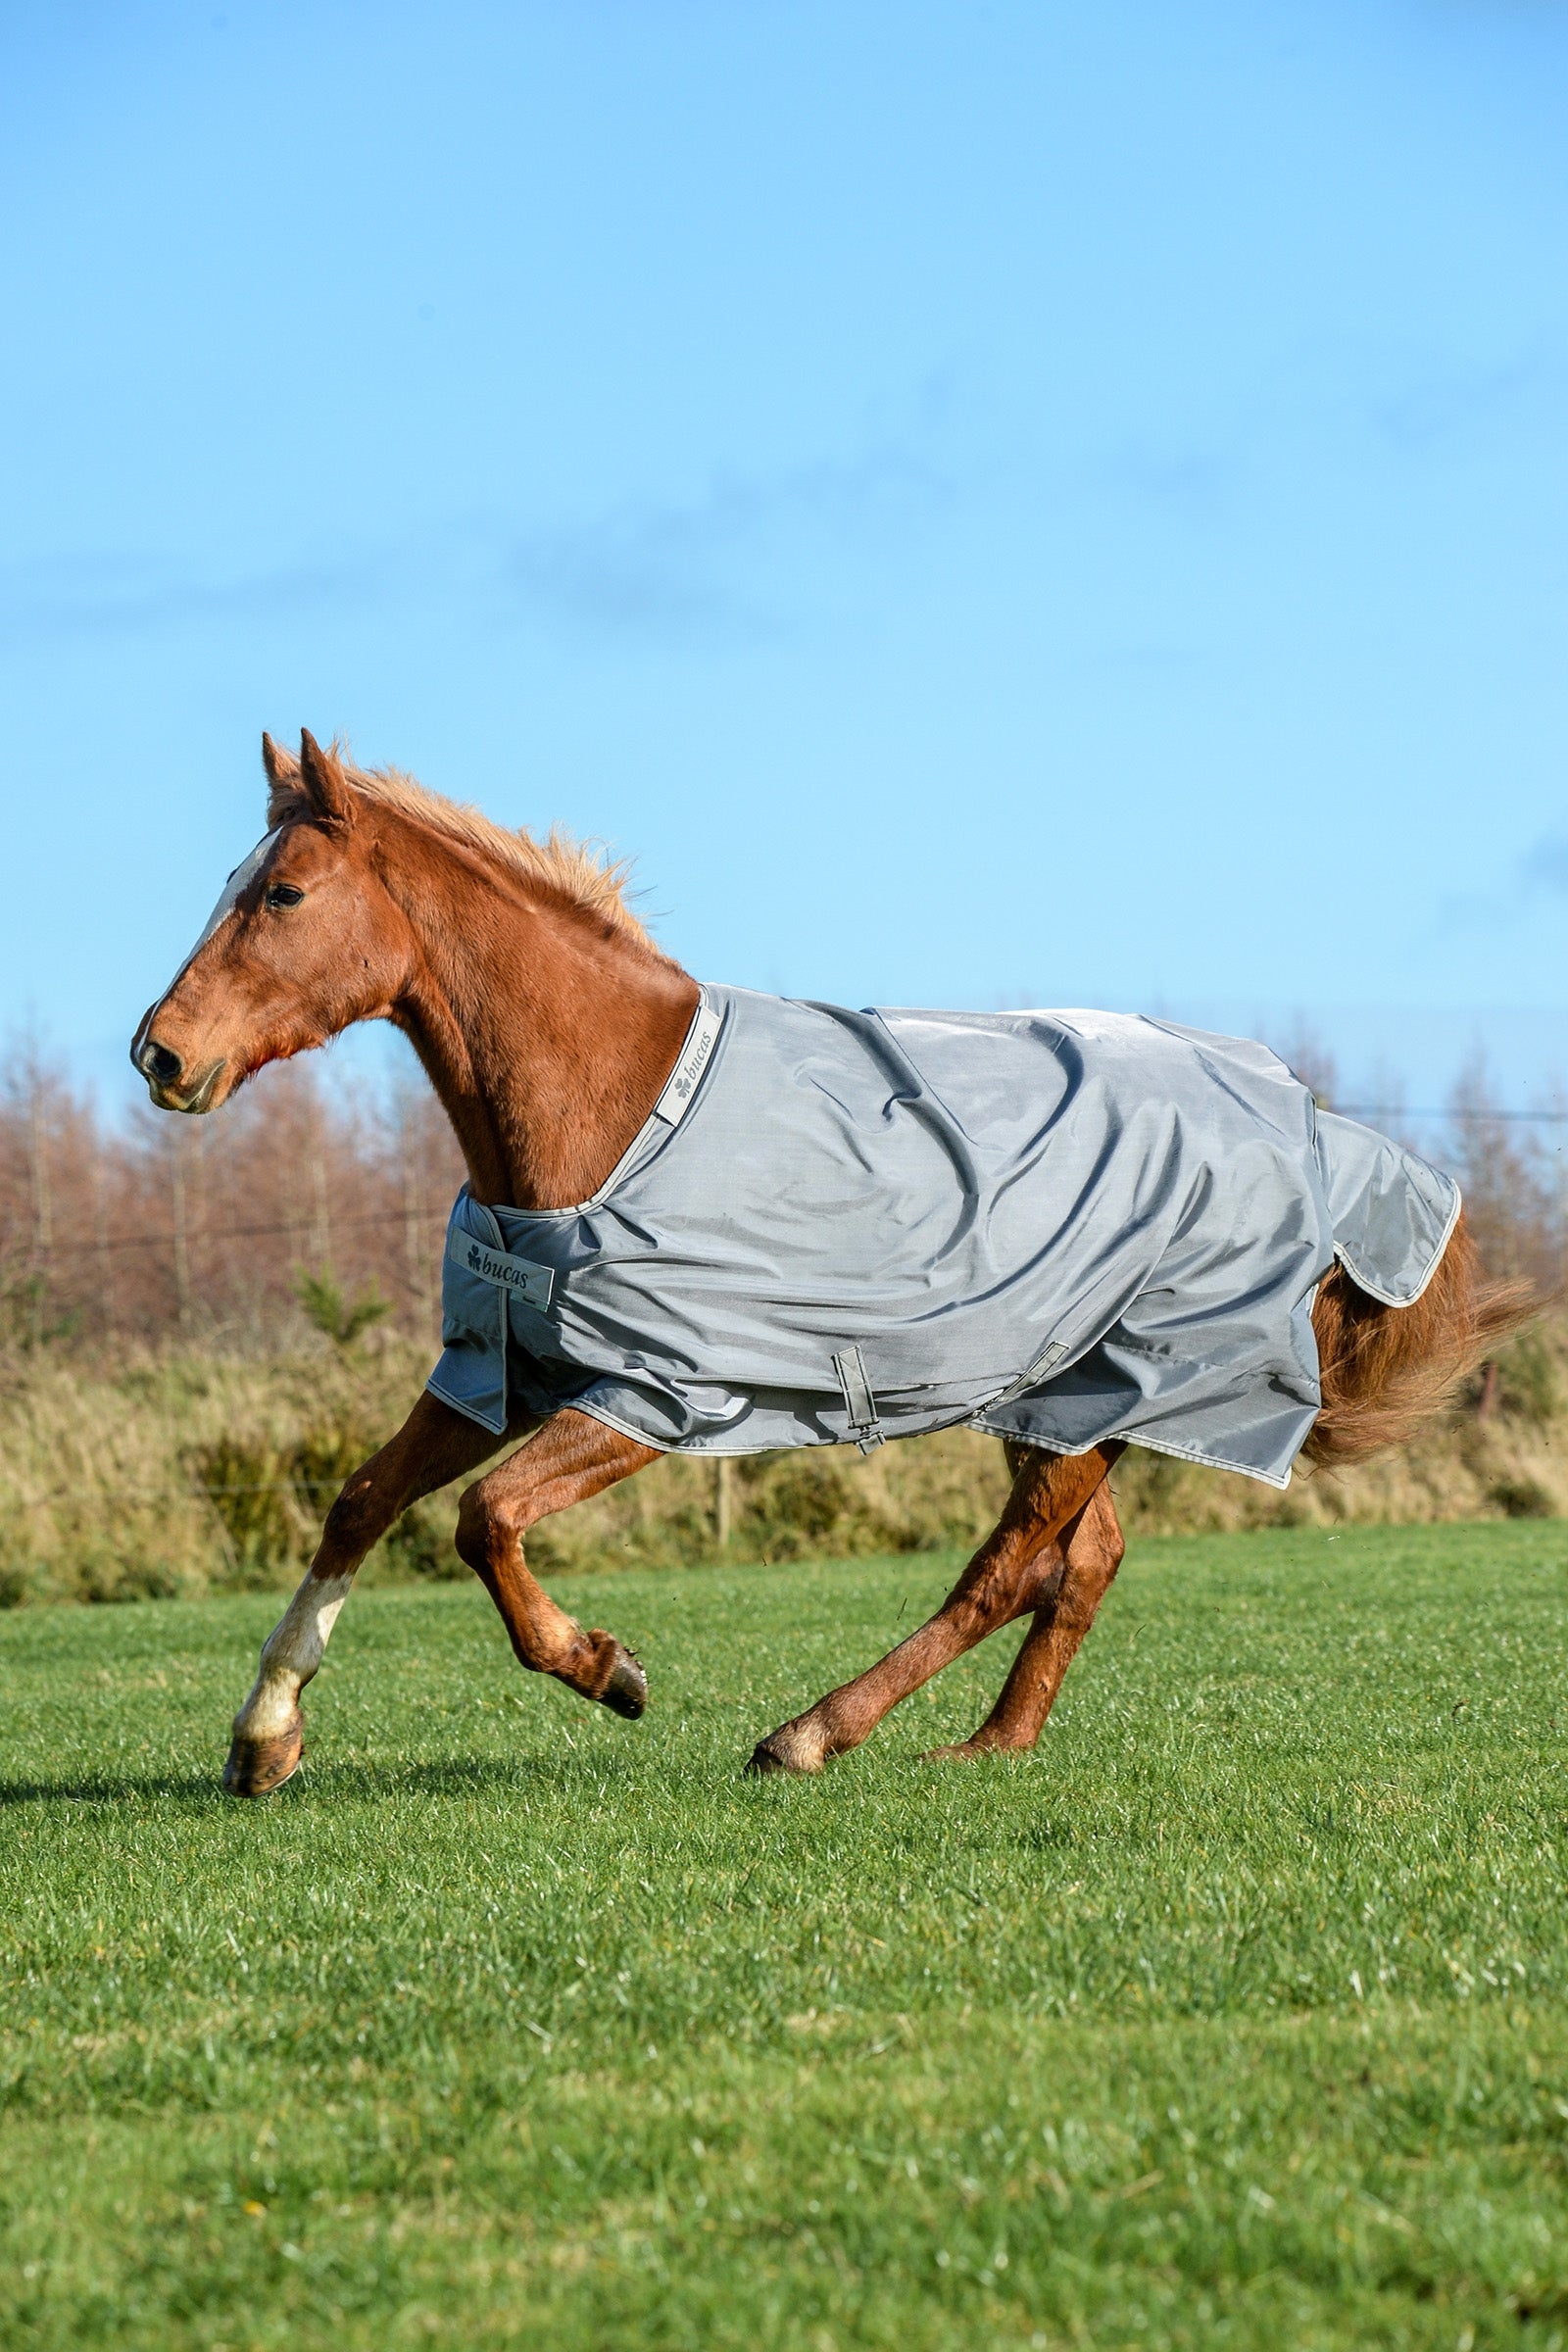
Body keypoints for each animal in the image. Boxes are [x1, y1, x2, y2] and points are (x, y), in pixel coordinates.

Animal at [131, 731, 1522, 1798]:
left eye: (281, 895)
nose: (160, 1054)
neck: (613, 1106)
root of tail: (1315, 1127)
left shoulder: (661, 1393)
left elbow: (486, 1520)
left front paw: (609, 1671)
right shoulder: (503, 1369)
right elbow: (362, 1500)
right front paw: (264, 1741)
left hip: (1108, 1389)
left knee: (1006, 1568)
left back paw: (810, 1733)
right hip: (1060, 1400)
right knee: (1079, 1563)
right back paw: (990, 1746)